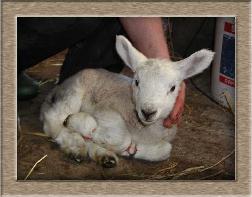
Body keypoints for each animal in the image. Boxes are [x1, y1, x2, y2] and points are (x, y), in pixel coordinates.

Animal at [39, 35, 215, 168]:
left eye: (172, 88)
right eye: (137, 82)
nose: (148, 111)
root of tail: (59, 86)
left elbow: (165, 150)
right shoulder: (104, 111)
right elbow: (121, 138)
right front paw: (87, 129)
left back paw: (104, 156)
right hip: (72, 95)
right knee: (54, 124)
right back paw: (76, 146)